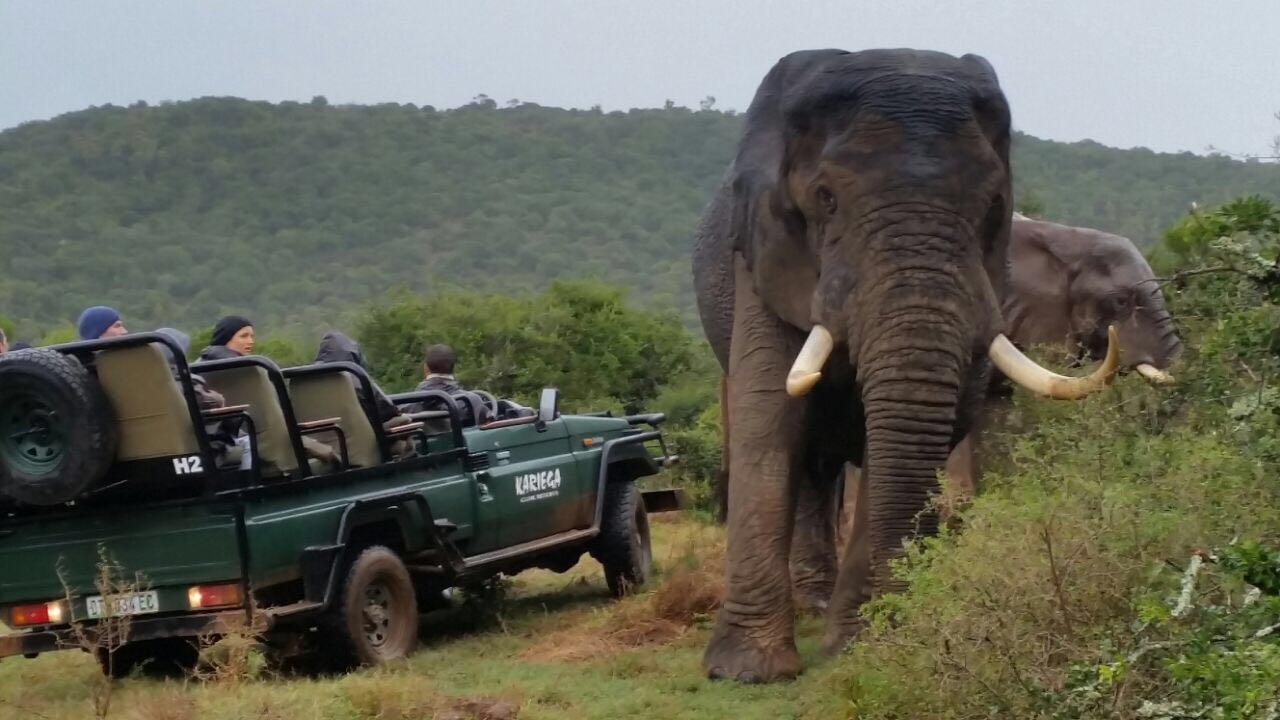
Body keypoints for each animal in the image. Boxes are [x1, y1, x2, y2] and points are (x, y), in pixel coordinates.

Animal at [691, 48, 1119, 683]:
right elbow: (768, 421)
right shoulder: (762, 257)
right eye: (825, 199)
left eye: (994, 208)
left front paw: (859, 647)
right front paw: (747, 673)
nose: (895, 618)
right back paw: (812, 603)